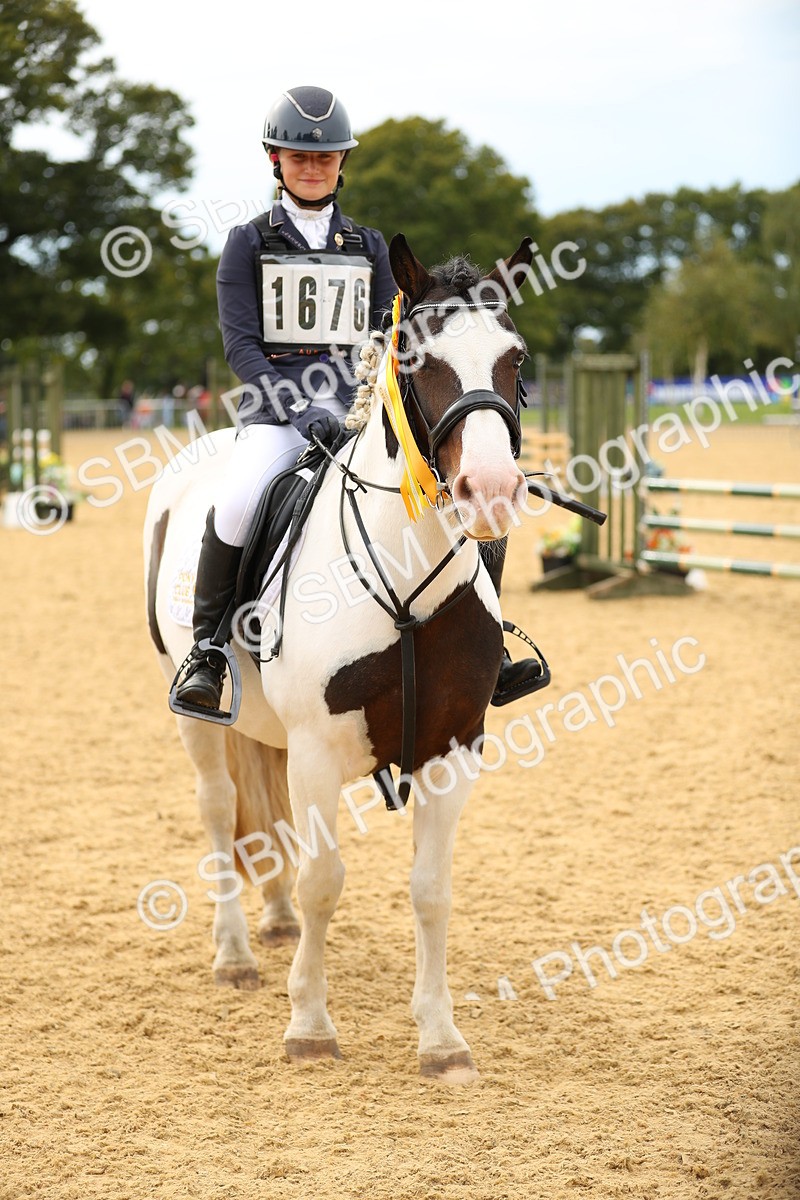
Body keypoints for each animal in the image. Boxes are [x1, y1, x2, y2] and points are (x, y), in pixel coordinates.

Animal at [144, 233, 535, 1084]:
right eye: (417, 357)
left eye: (515, 357)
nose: (490, 489)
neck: (406, 577)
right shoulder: (321, 750)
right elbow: (326, 880)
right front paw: (310, 1028)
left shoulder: (453, 748)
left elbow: (431, 890)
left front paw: (441, 1040)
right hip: (191, 712)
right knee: (219, 806)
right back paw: (234, 953)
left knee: (263, 815)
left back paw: (275, 920)